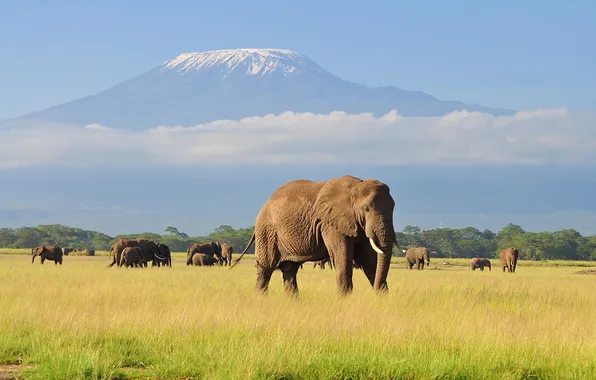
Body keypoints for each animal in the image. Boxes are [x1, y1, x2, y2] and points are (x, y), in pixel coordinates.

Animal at [232, 175, 400, 296]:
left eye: (393, 208)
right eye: (366, 209)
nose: (376, 292)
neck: (356, 186)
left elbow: (369, 258)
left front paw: (382, 298)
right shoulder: (330, 223)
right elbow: (342, 255)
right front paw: (345, 299)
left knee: (289, 270)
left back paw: (293, 302)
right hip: (267, 231)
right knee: (266, 267)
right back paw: (260, 299)